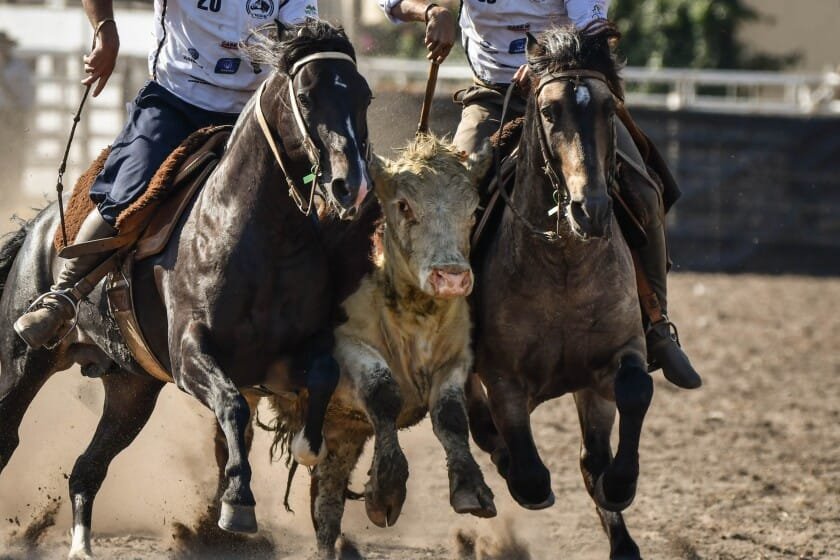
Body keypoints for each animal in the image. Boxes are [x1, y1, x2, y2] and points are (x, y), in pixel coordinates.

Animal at [0, 20, 373, 558]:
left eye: (364, 95)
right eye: (306, 96)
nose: (352, 186)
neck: (258, 233)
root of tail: (41, 226)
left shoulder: (288, 355)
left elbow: (323, 374)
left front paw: (307, 445)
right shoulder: (190, 353)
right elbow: (232, 407)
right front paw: (237, 503)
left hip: (131, 389)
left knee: (87, 470)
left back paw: (82, 547)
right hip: (24, 362)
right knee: (9, 435)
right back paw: (49, 309)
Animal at [467, 27, 654, 559]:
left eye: (609, 110)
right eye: (549, 113)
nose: (589, 209)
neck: (564, 268)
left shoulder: (616, 357)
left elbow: (635, 393)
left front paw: (621, 485)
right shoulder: (502, 375)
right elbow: (527, 470)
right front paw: (523, 476)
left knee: (590, 457)